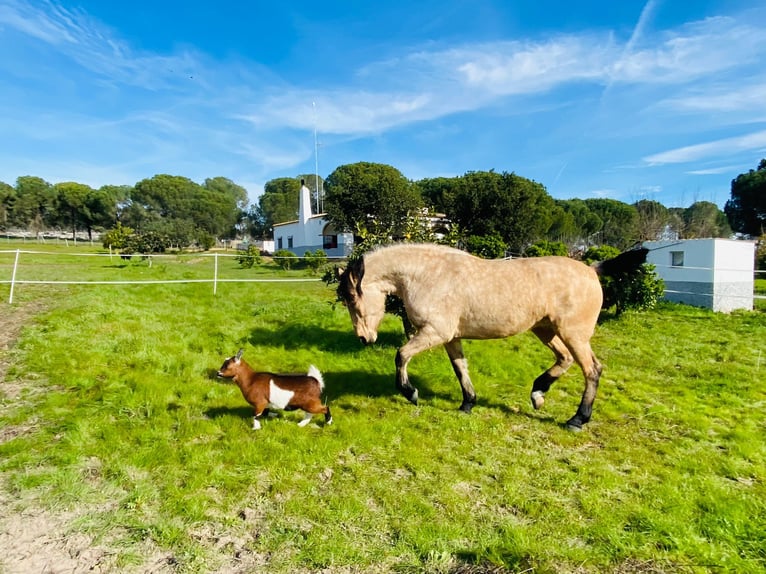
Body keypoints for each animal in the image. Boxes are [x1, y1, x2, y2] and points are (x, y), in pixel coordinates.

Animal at [336, 243, 648, 432]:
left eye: (352, 299)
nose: (364, 338)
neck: (428, 276)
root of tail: (591, 270)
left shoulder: (435, 332)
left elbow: (401, 355)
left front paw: (410, 393)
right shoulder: (450, 337)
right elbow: (460, 368)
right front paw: (467, 404)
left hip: (573, 334)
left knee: (592, 369)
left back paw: (577, 419)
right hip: (546, 329)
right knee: (565, 359)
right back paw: (538, 394)